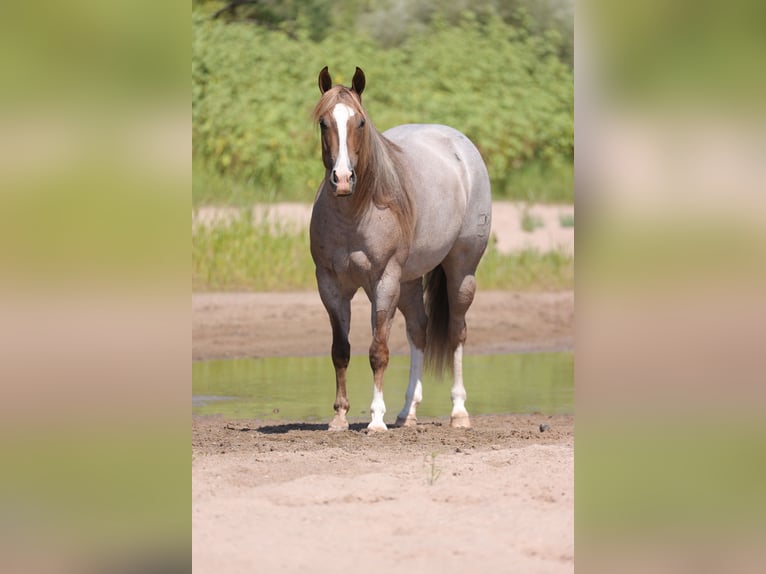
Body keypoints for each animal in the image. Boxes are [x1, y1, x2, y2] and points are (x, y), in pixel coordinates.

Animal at [309, 66, 492, 431]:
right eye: (324, 122)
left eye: (360, 122)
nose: (342, 179)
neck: (356, 214)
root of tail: (462, 146)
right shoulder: (331, 285)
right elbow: (341, 350)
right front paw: (339, 417)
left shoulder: (384, 281)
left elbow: (378, 351)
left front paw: (376, 420)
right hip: (408, 281)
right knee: (418, 330)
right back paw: (408, 413)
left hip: (461, 271)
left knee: (457, 332)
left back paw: (459, 413)